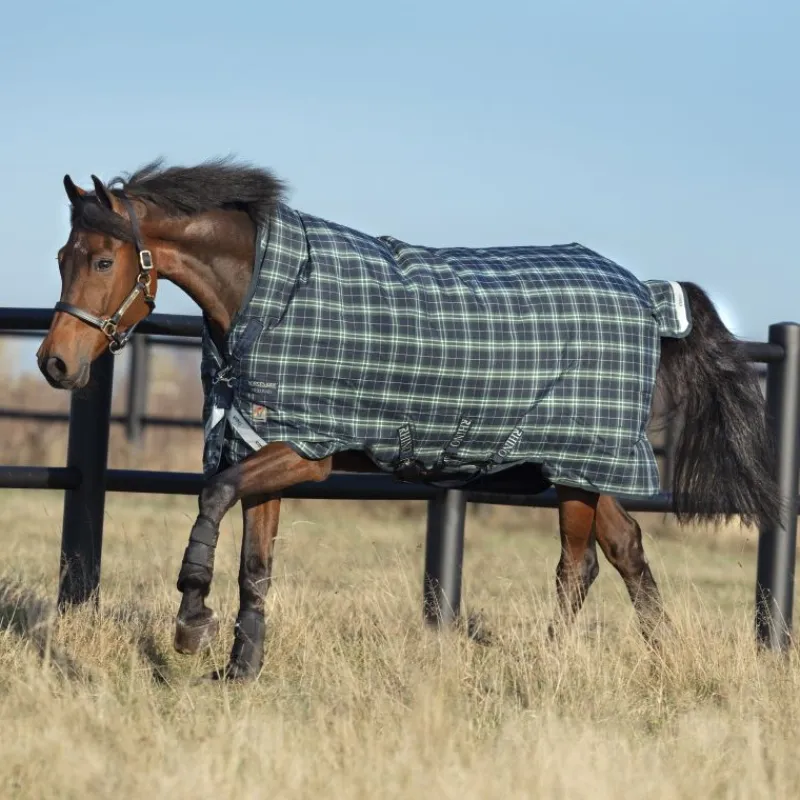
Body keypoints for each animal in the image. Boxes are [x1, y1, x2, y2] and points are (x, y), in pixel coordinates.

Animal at [37, 159, 780, 681]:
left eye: (103, 259)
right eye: (61, 257)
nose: (55, 364)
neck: (268, 293)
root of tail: (647, 295)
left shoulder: (305, 450)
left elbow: (213, 499)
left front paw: (191, 623)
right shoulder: (259, 443)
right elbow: (255, 563)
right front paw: (238, 669)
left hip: (577, 463)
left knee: (578, 567)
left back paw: (552, 667)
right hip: (582, 469)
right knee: (626, 547)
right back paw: (661, 655)